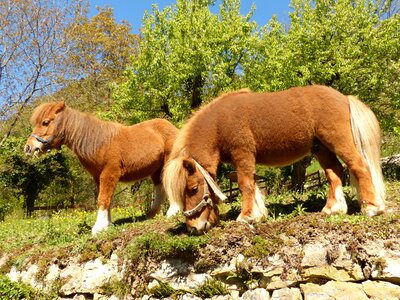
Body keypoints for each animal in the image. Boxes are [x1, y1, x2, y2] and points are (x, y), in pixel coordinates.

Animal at [25, 102, 179, 236]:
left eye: (45, 122)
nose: (28, 148)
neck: (99, 142)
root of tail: (172, 128)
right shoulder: (98, 177)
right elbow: (107, 199)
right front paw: (107, 224)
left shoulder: (109, 173)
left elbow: (103, 198)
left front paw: (98, 227)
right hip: (156, 169)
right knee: (159, 187)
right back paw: (153, 214)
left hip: (168, 162)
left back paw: (172, 212)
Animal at [162, 84, 384, 234]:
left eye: (193, 189)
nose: (193, 228)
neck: (219, 123)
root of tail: (344, 97)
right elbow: (251, 184)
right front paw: (258, 213)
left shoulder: (243, 153)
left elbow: (245, 184)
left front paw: (246, 216)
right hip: (321, 148)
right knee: (335, 173)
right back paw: (332, 208)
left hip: (338, 141)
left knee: (359, 166)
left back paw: (371, 207)